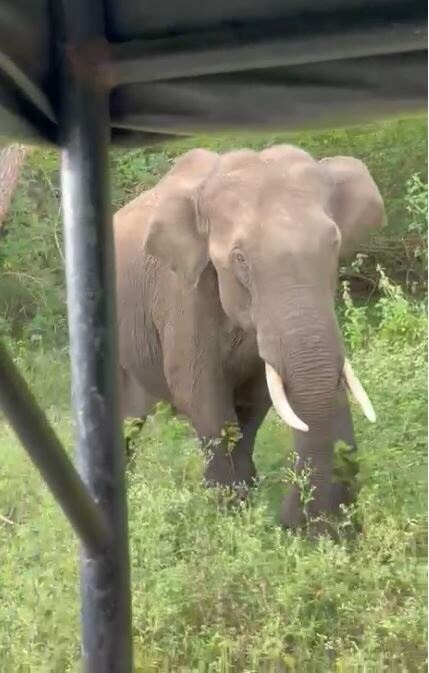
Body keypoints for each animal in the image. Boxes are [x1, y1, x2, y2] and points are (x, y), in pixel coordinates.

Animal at [113, 144, 382, 532]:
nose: (293, 521)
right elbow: (201, 395)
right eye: (239, 258)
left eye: (334, 242)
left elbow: (255, 401)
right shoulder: (182, 292)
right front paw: (229, 514)